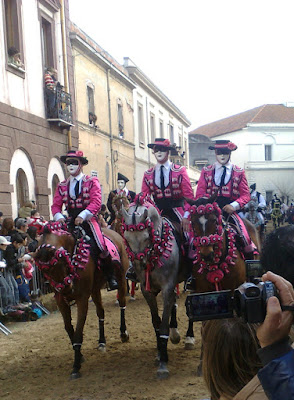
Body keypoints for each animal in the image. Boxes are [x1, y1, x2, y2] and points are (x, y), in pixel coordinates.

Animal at [34, 220, 129, 380]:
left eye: (62, 261)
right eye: (45, 271)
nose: (66, 289)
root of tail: (115, 233)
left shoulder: (82, 299)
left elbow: (78, 332)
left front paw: (76, 366)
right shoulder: (61, 301)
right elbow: (69, 328)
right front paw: (80, 355)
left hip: (121, 280)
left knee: (122, 304)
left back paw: (123, 333)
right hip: (95, 289)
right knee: (100, 312)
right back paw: (102, 341)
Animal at [120, 198, 185, 380]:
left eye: (146, 237)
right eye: (126, 238)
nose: (139, 265)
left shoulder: (167, 288)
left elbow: (163, 325)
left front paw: (163, 364)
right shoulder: (147, 291)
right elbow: (156, 323)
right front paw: (159, 353)